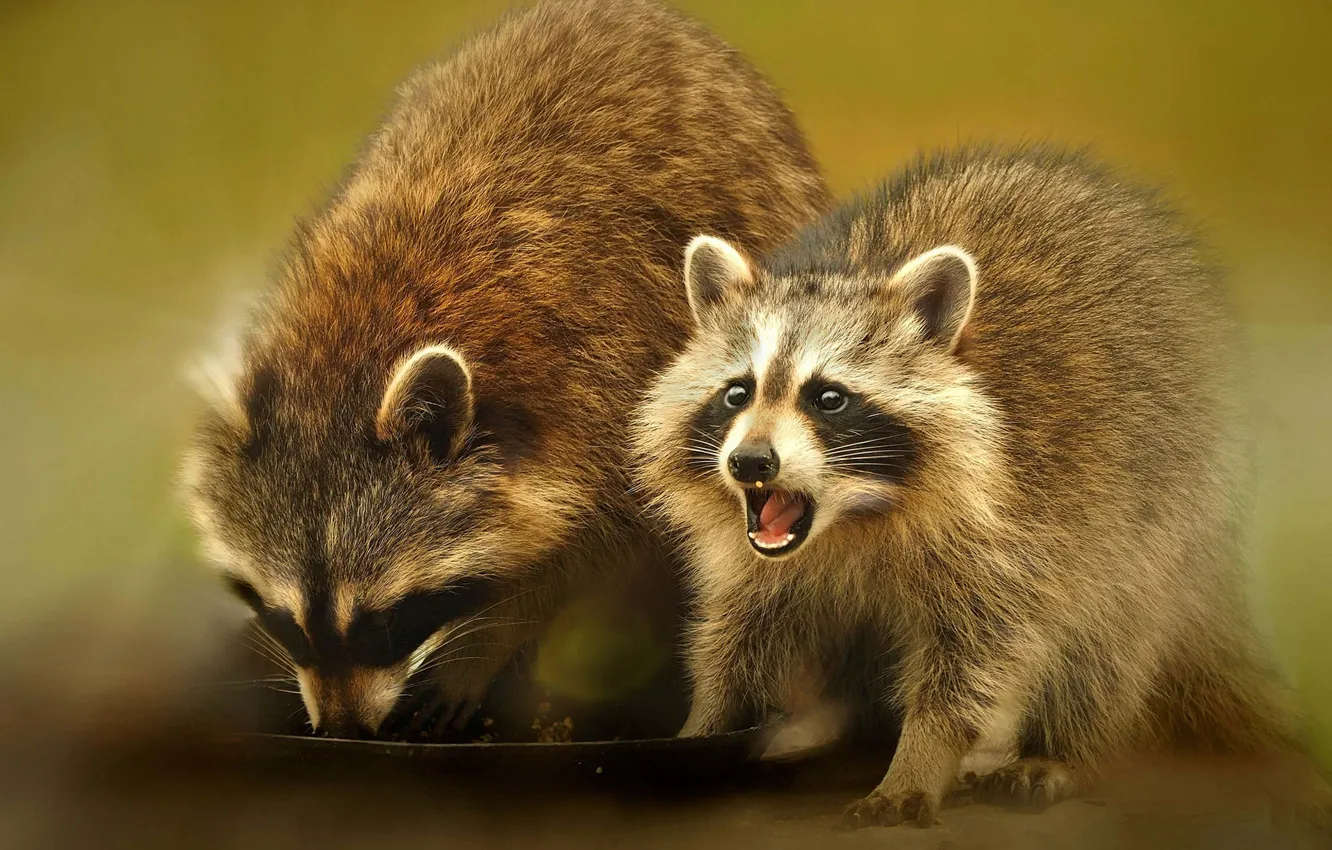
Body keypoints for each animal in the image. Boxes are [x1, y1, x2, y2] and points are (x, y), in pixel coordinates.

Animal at [180, 0, 827, 739]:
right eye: (286, 621)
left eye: (383, 620)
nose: (344, 729)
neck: (355, 344)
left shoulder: (613, 391)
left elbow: (588, 555)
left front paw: (484, 644)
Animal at [633, 146, 1315, 827]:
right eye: (737, 392)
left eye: (828, 398)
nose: (750, 463)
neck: (853, 519)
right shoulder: (755, 558)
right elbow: (737, 632)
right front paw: (706, 724)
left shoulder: (1012, 528)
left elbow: (971, 658)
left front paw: (922, 755)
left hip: (1165, 502)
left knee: (1108, 631)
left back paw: (1062, 747)